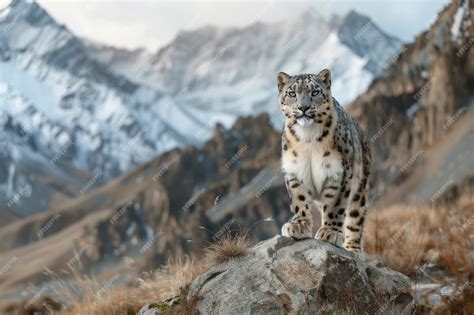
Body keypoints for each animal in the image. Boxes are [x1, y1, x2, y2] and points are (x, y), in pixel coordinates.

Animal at [278, 69, 370, 254]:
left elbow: (336, 204)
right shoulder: (294, 170)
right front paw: (298, 225)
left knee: (355, 216)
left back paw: (352, 248)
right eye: (292, 93)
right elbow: (299, 199)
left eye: (315, 92)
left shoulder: (340, 172)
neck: (307, 137)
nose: (303, 107)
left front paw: (330, 232)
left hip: (360, 186)